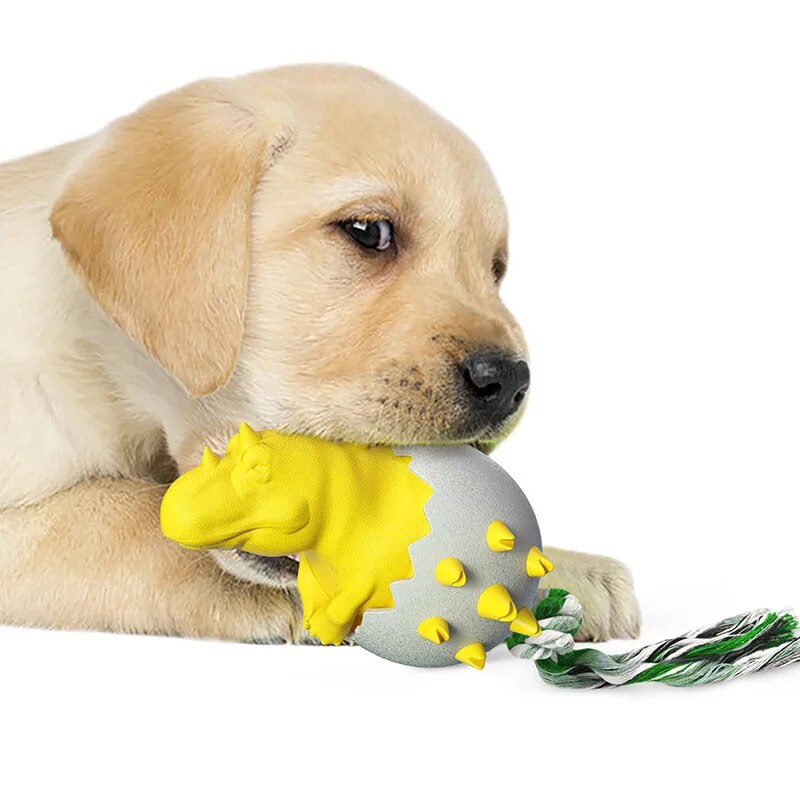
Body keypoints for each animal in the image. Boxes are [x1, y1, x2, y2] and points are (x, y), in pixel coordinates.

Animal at [0, 67, 640, 644]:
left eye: (495, 269)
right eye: (369, 231)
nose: (509, 381)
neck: (101, 376)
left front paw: (563, 569)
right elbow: (130, 517)